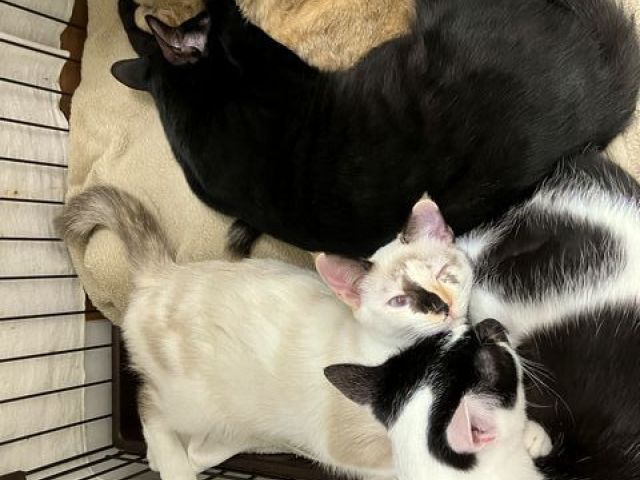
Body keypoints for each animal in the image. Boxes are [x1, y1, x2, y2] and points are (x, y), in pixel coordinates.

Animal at [58, 186, 548, 480]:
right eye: (398, 301)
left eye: (445, 275)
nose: (438, 306)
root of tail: (163, 273)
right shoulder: (352, 442)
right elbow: (399, 457)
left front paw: (529, 434)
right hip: (194, 399)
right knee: (150, 405)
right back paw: (173, 465)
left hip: (236, 419)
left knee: (206, 442)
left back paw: (179, 457)